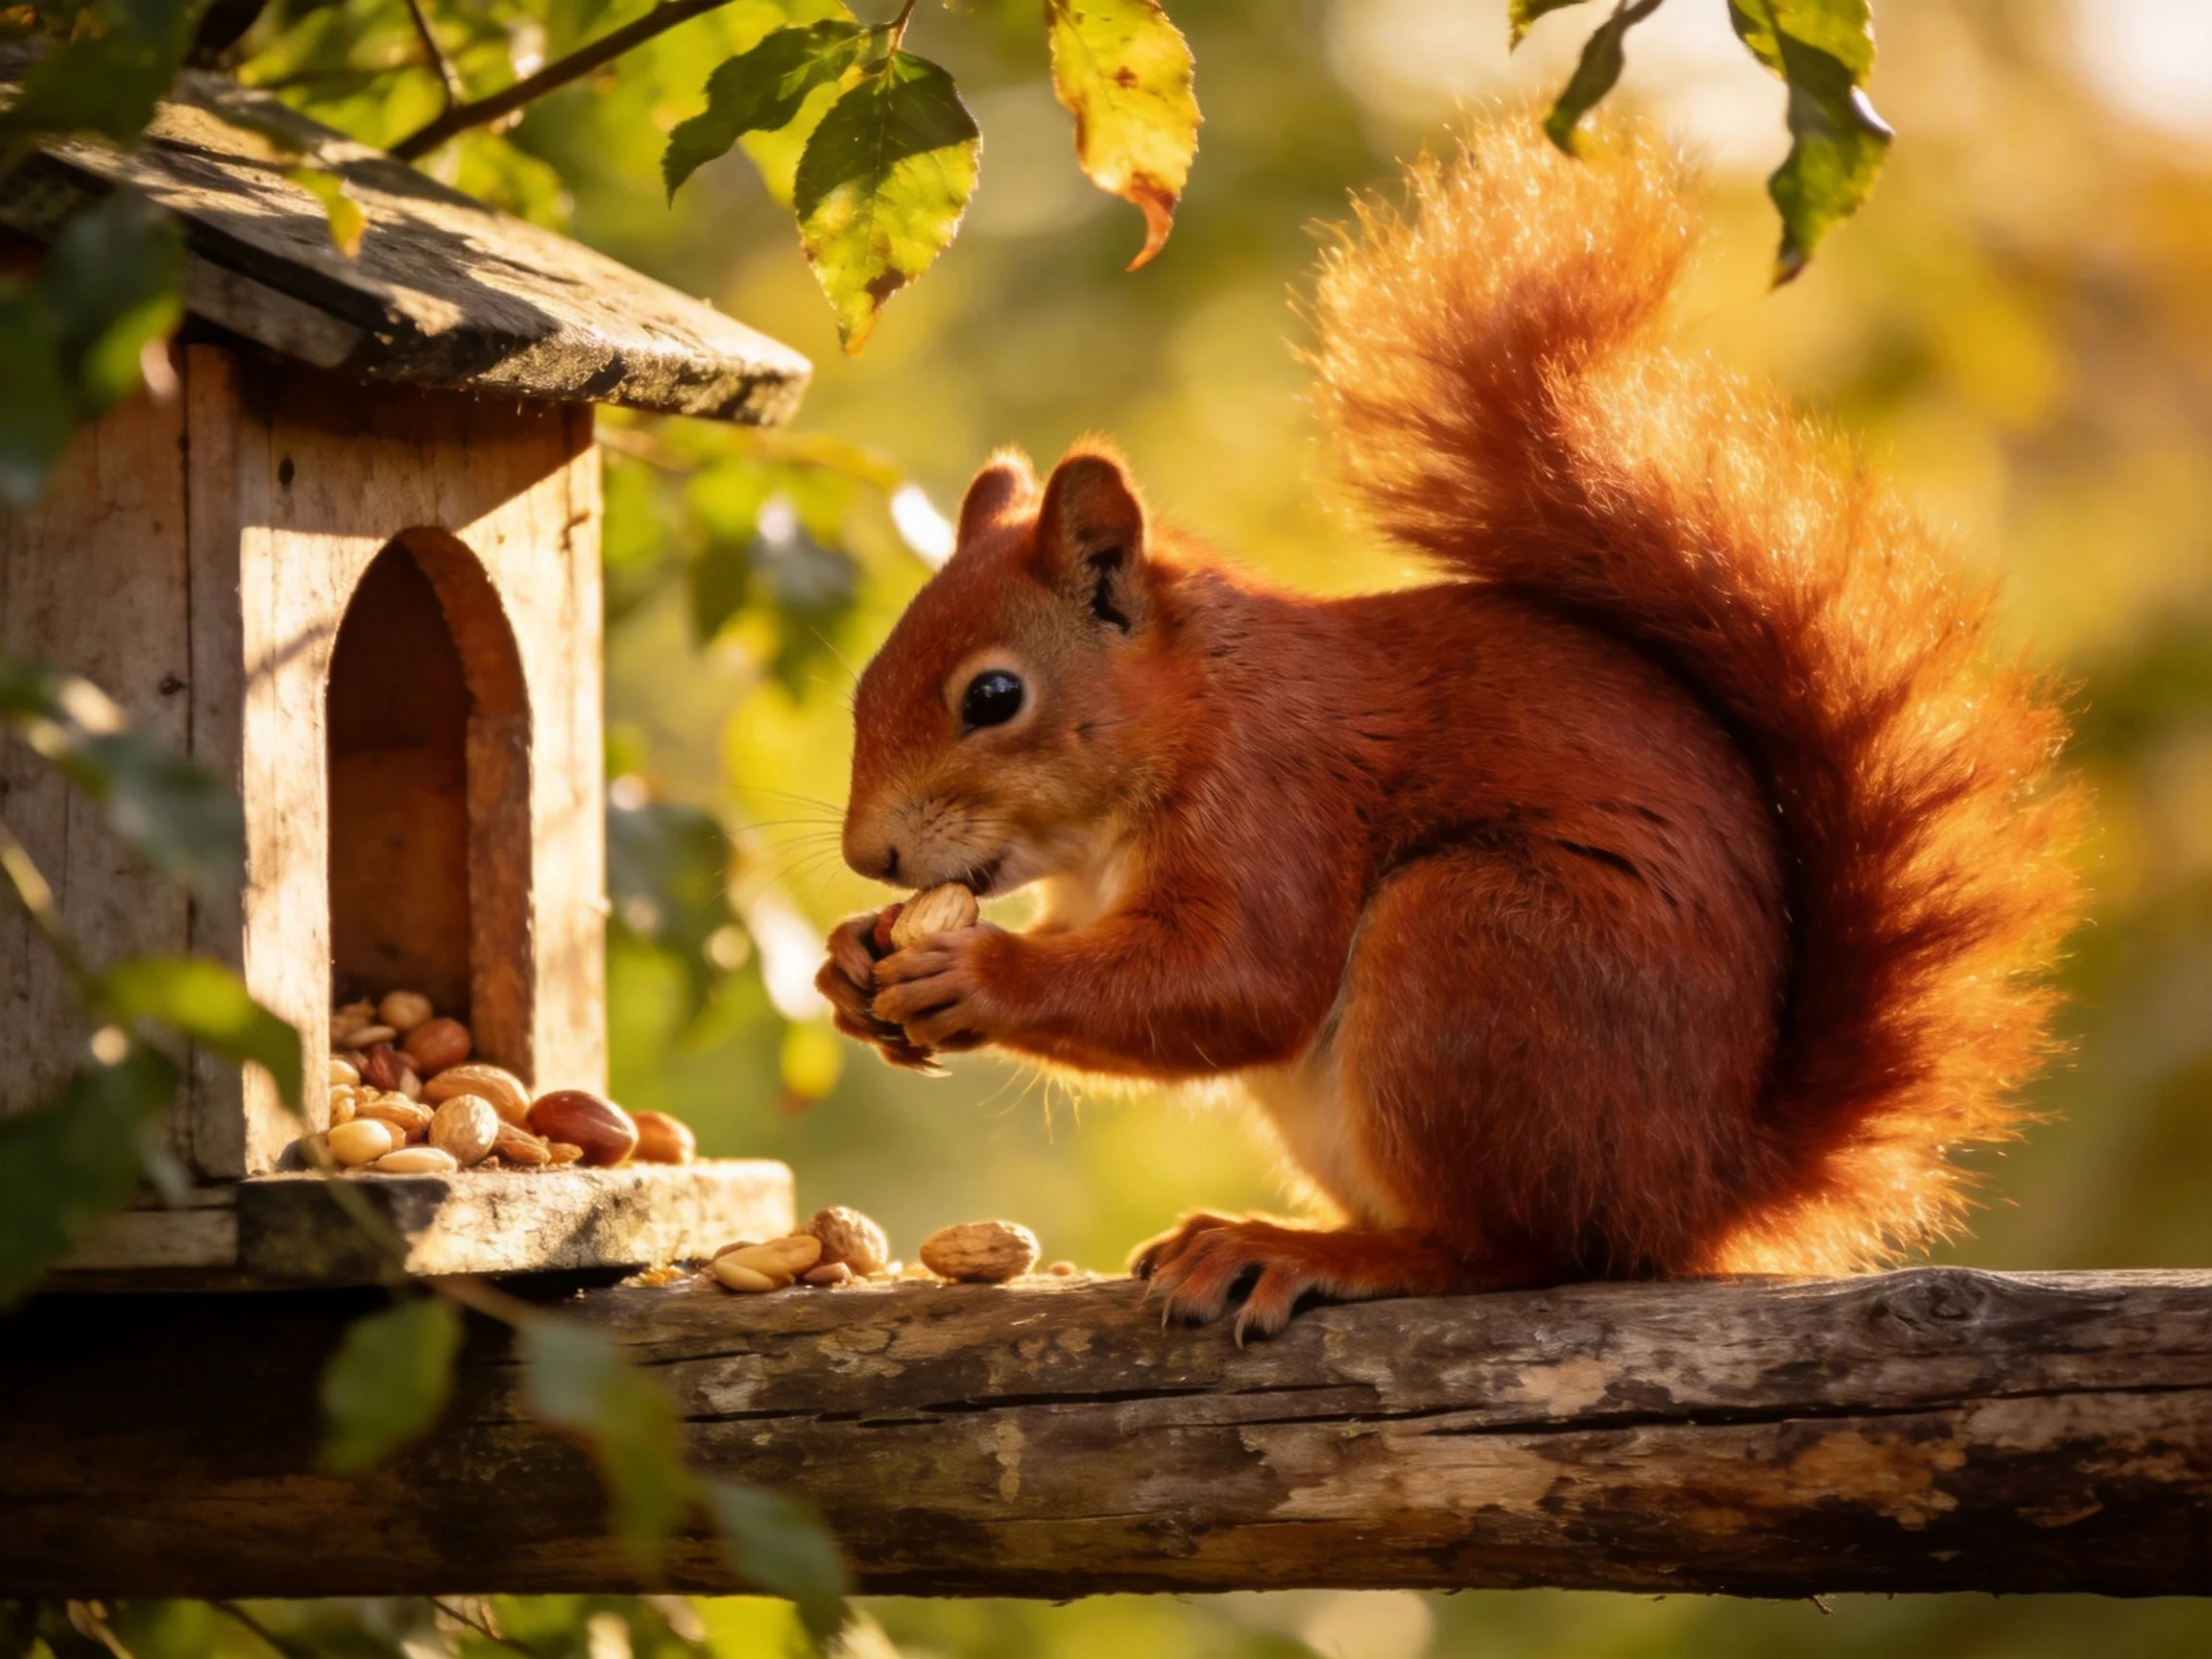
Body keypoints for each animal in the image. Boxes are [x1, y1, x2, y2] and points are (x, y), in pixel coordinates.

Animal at [814, 119, 2082, 1338]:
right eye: (864, 682)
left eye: (993, 698)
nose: (867, 856)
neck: (1194, 710)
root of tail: (1710, 1181)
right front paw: (849, 961)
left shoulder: (1277, 795)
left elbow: (1239, 980)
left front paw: (976, 970)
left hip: (1474, 953)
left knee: (1512, 1251)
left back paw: (1313, 1253)